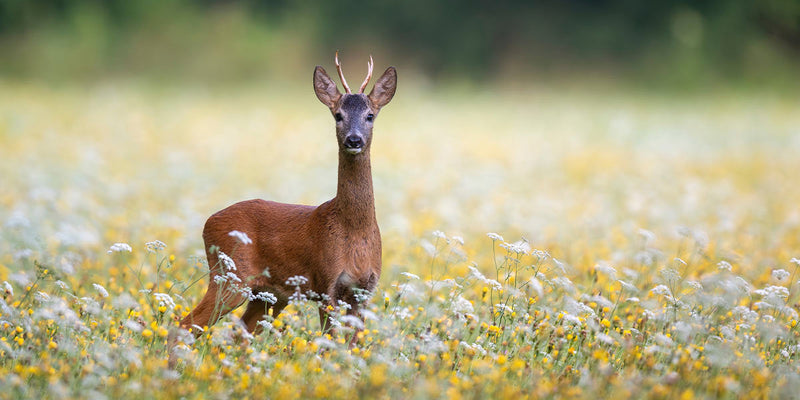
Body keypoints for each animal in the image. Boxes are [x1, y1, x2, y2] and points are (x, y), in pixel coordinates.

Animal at [169, 54, 396, 363]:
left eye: (370, 115)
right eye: (338, 115)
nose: (354, 139)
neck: (354, 229)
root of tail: (208, 222)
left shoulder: (364, 290)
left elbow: (352, 348)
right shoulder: (326, 284)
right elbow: (329, 346)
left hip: (269, 295)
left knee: (239, 333)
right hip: (230, 276)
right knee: (184, 326)